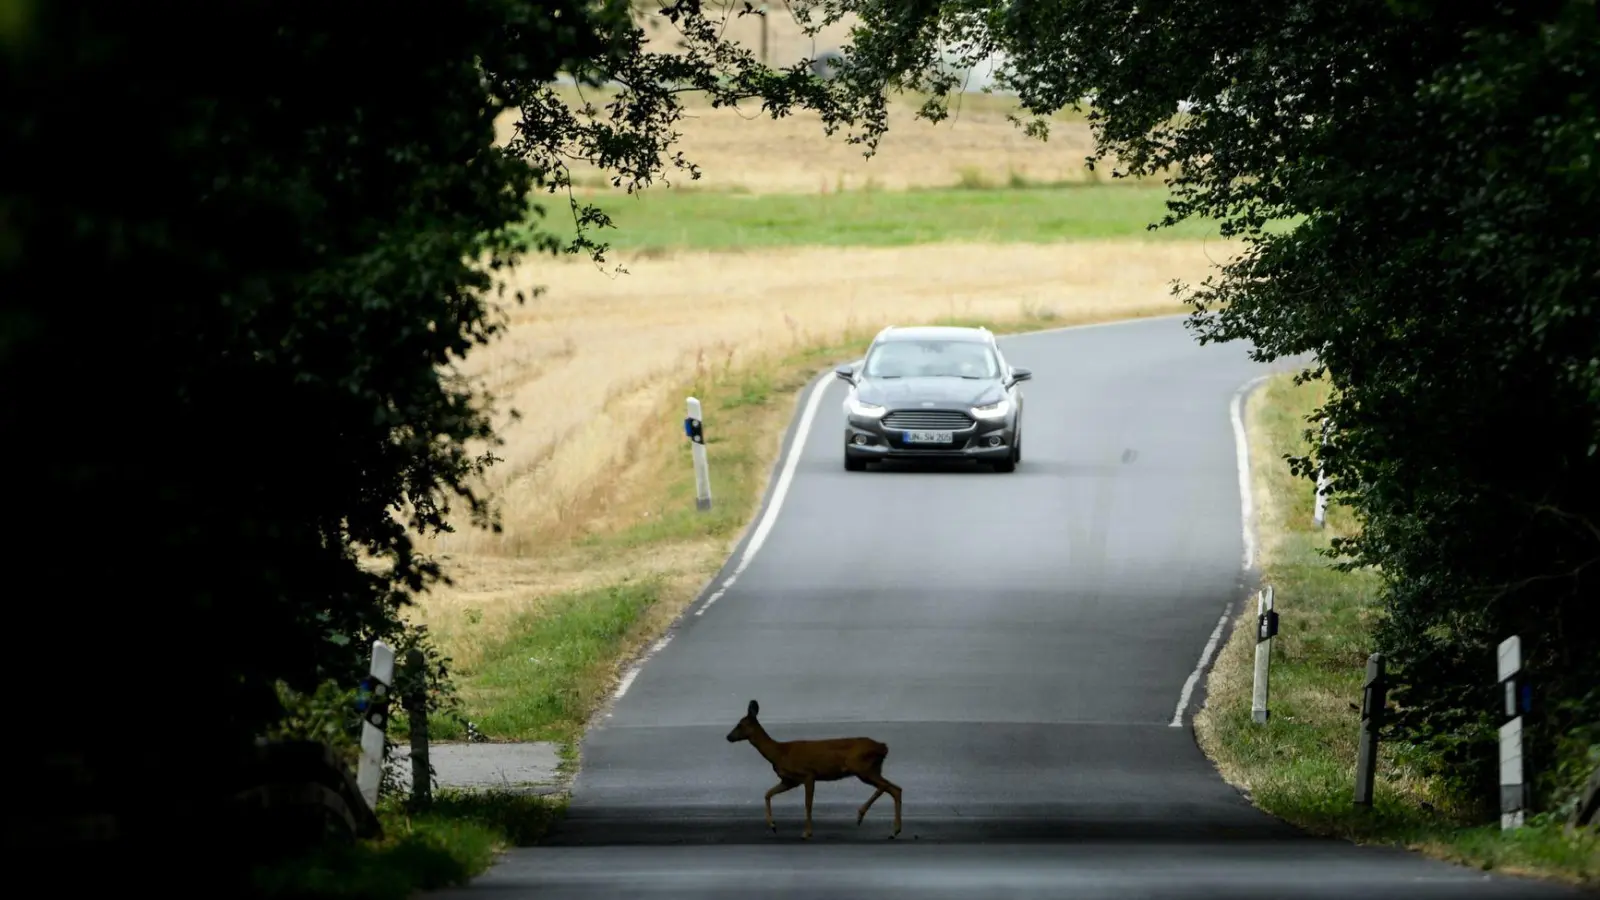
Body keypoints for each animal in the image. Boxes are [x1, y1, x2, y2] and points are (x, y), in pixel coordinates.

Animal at [726, 698, 902, 839]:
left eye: (740, 724)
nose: (728, 737)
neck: (779, 753)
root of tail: (883, 747)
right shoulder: (789, 780)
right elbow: (768, 793)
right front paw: (773, 825)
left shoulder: (808, 774)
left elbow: (808, 804)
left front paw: (807, 833)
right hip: (872, 769)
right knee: (895, 789)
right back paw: (894, 831)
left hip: (862, 768)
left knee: (885, 786)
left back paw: (861, 814)